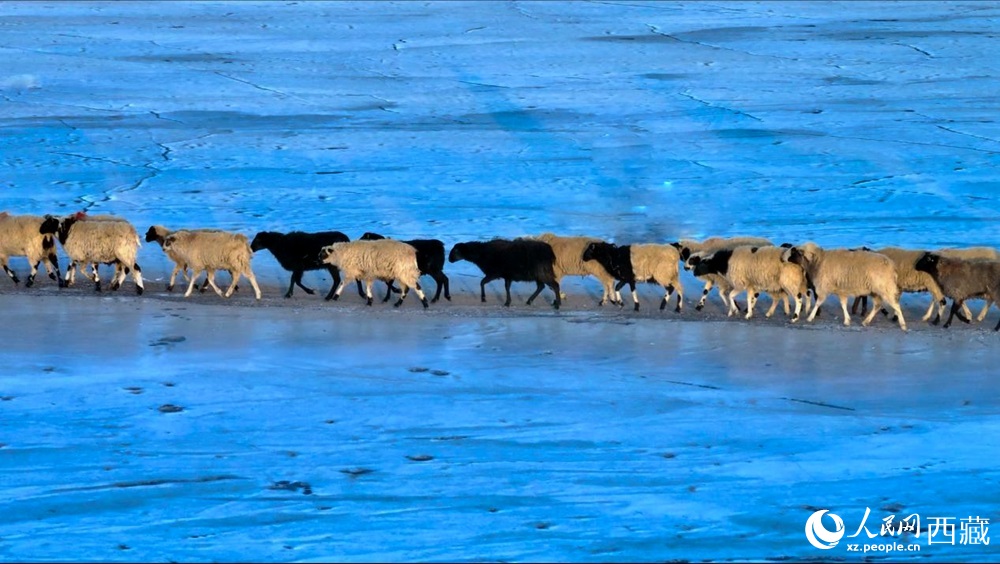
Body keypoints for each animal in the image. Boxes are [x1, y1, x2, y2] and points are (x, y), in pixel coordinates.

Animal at [780, 242, 908, 330]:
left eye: (795, 252)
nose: (782, 259)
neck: (818, 261)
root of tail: (892, 266)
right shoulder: (841, 290)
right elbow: (843, 305)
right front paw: (847, 320)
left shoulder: (824, 286)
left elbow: (818, 303)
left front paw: (810, 317)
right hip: (875, 291)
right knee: (877, 305)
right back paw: (866, 321)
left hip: (885, 288)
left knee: (896, 305)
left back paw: (903, 324)